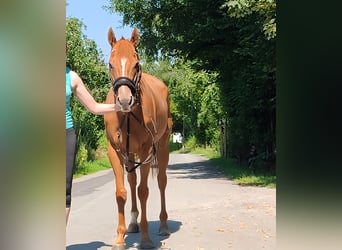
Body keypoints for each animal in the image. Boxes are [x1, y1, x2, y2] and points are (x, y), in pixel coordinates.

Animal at [102, 27, 170, 250]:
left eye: (136, 64)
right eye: (110, 64)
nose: (125, 100)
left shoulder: (146, 150)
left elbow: (143, 191)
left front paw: (146, 238)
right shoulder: (115, 151)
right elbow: (122, 192)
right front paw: (120, 237)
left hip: (162, 147)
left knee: (161, 181)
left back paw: (163, 225)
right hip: (129, 153)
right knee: (131, 181)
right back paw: (132, 223)